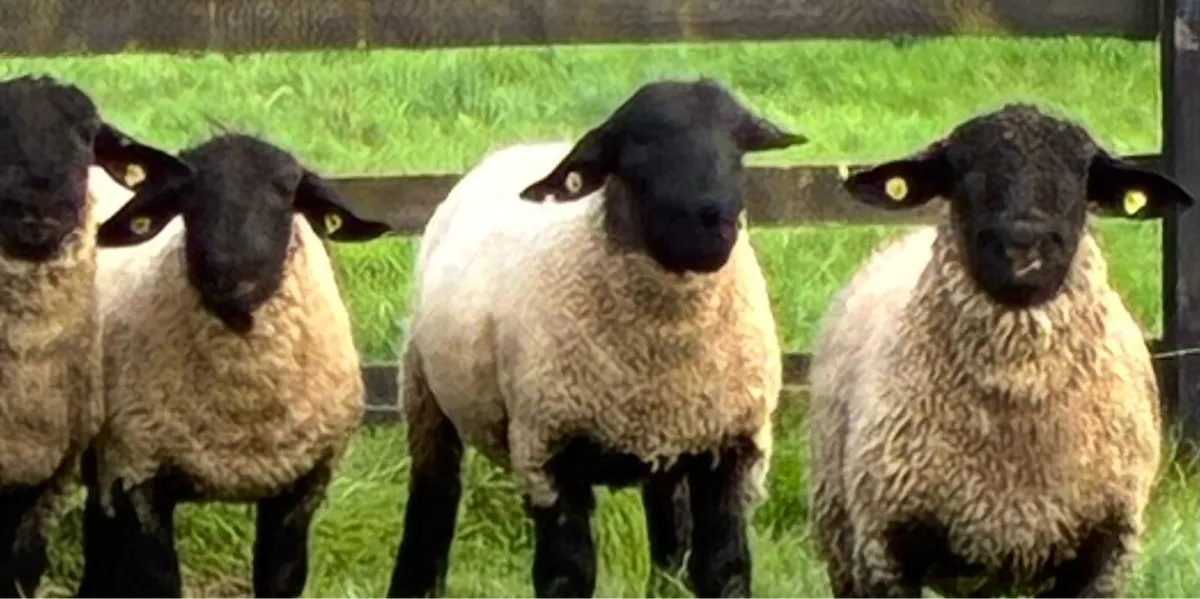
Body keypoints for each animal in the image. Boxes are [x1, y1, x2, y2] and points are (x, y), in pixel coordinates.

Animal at [74, 133, 394, 598]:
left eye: (286, 189)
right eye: (185, 193)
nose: (228, 273)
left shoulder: (303, 483)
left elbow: (282, 577)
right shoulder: (139, 470)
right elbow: (157, 579)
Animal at [386, 77, 808, 598]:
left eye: (740, 144)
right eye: (637, 147)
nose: (716, 221)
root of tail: (522, 148)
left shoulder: (733, 449)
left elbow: (723, 568)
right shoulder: (549, 451)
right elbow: (567, 574)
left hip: (670, 442)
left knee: (669, 533)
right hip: (425, 394)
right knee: (432, 506)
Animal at [807, 103, 1196, 598]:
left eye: (1081, 172)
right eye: (959, 169)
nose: (1023, 249)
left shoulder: (1107, 551)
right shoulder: (886, 547)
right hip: (843, 540)